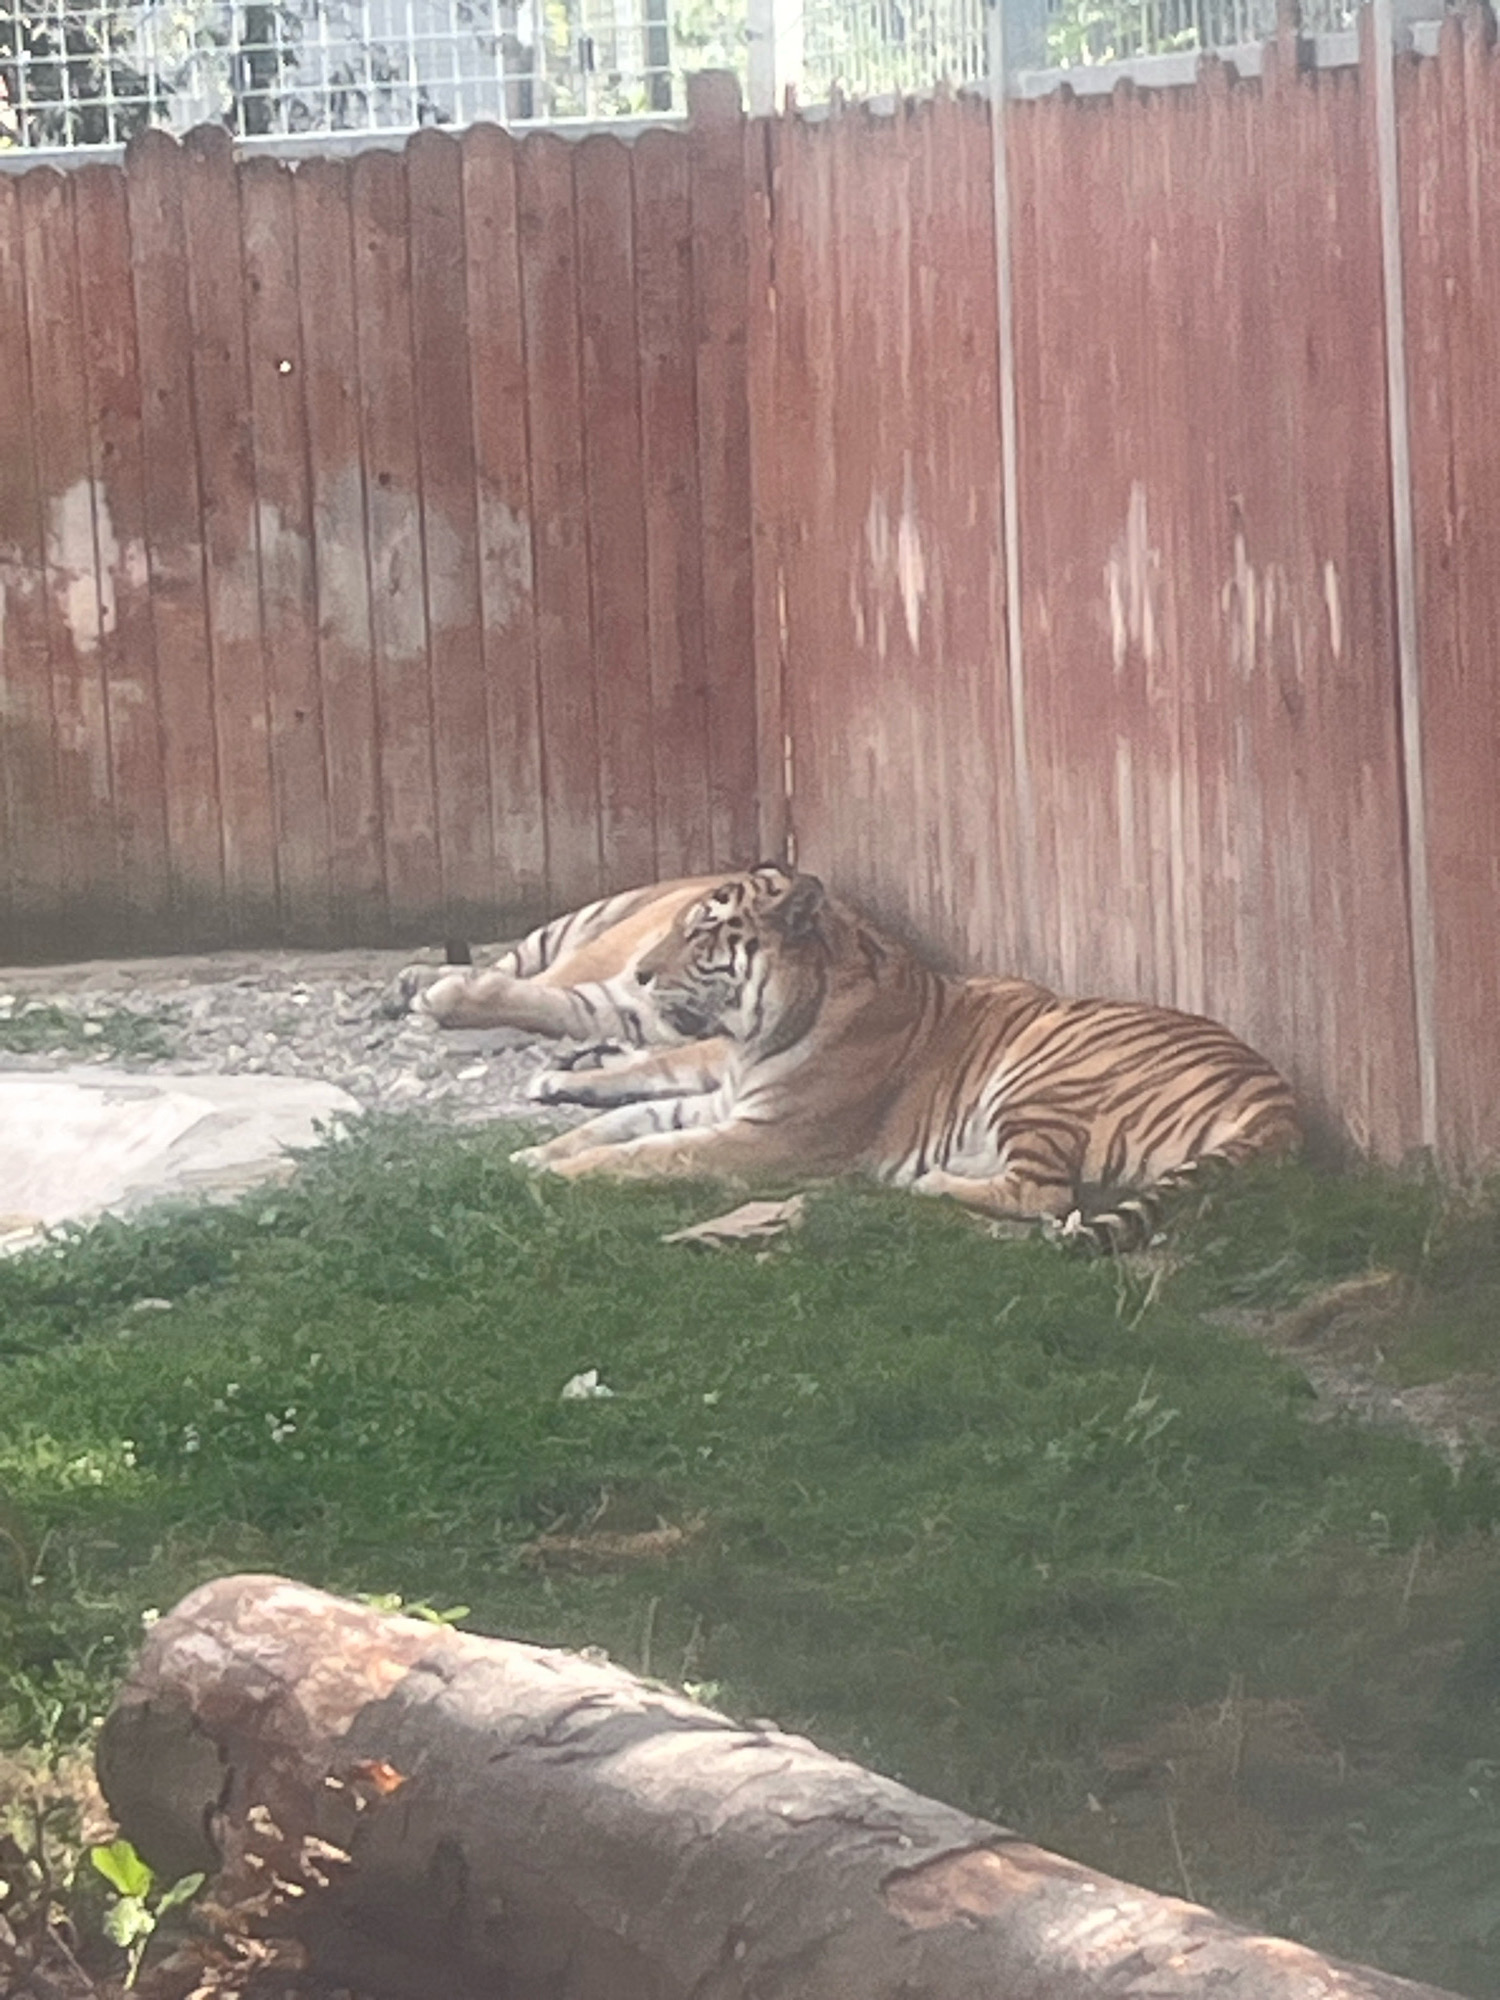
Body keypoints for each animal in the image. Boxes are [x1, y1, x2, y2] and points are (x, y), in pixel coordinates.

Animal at [510, 868, 1301, 1252]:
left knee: (1047, 1195)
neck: (758, 1033)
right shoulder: (725, 1102)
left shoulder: (767, 1139)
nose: (640, 973)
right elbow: (627, 1123)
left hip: (1042, 1077)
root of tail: (1278, 1097)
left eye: (703, 933)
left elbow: (653, 1154)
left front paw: (558, 1174)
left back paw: (927, 1183)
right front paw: (536, 1153)